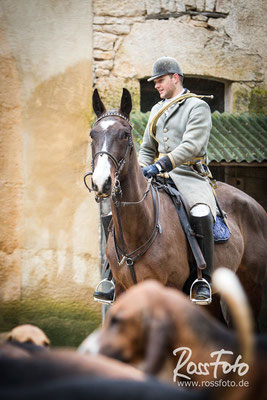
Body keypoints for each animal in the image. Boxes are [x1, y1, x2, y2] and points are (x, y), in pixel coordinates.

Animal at [89, 87, 267, 324]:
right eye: (93, 135)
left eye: (125, 134)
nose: (101, 182)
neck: (141, 227)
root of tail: (256, 205)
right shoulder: (123, 292)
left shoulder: (168, 290)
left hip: (251, 287)